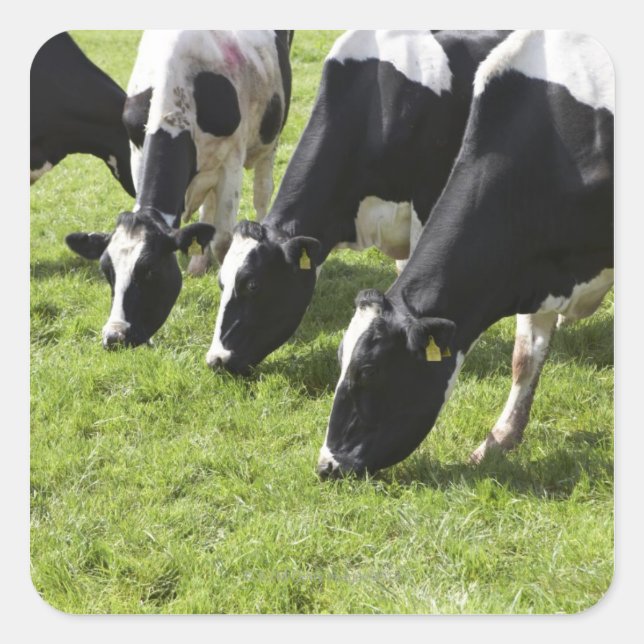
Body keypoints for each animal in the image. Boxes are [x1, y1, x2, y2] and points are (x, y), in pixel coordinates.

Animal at [65, 30, 293, 349]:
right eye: (106, 271)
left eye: (150, 271)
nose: (115, 336)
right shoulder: (136, 150)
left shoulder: (231, 160)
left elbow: (223, 241)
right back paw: (198, 263)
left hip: (269, 135)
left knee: (262, 193)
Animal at [317, 30, 614, 478]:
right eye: (339, 359)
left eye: (368, 369)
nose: (327, 465)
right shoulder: (531, 263)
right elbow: (525, 357)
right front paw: (498, 441)